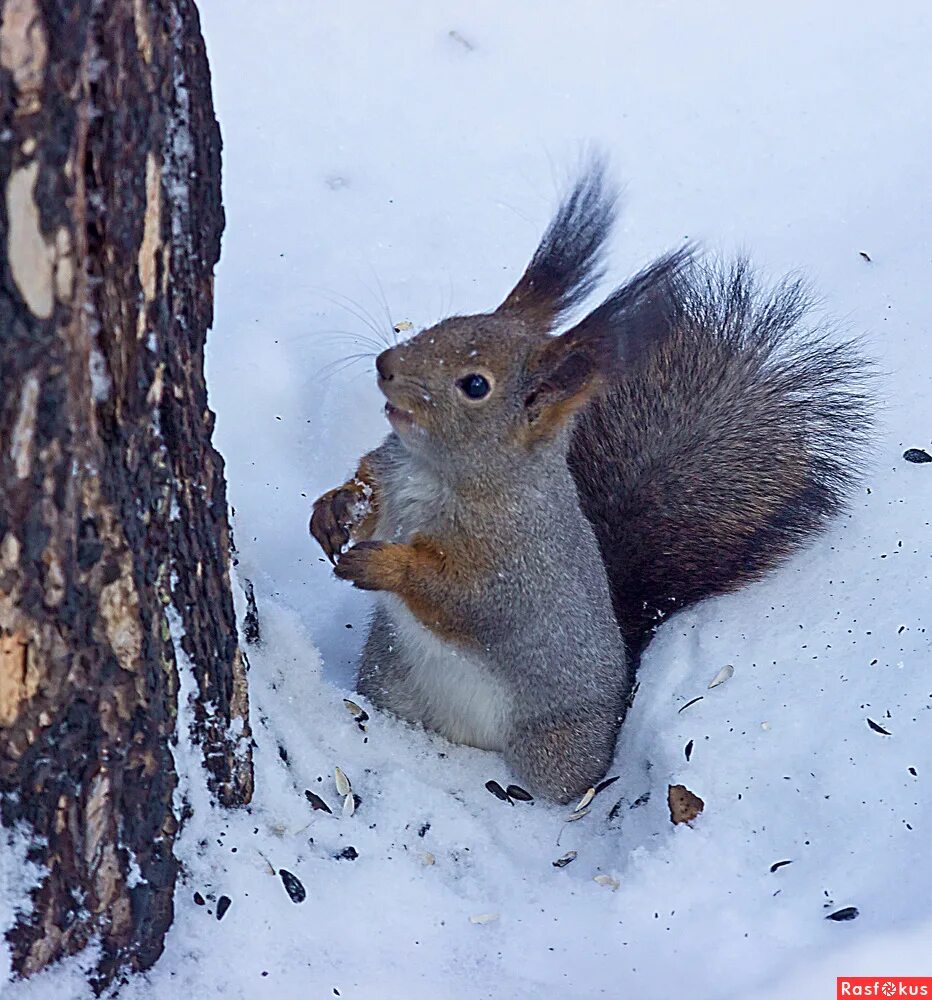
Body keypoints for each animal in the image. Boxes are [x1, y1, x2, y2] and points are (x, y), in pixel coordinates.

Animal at [310, 164, 872, 804]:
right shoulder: (396, 468)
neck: (439, 473)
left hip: (553, 744)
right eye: (444, 324)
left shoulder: (514, 567)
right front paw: (334, 509)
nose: (385, 365)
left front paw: (383, 564)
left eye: (475, 385)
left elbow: (461, 598)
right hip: (388, 678)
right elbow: (371, 489)